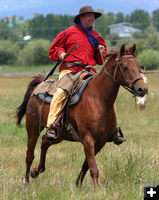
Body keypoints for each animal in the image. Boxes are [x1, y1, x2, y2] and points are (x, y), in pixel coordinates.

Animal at [15, 43, 148, 188]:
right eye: (125, 67)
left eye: (138, 66)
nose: (142, 89)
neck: (98, 98)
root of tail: (38, 85)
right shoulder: (88, 139)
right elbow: (93, 167)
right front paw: (96, 189)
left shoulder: (100, 141)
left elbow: (86, 165)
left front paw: (78, 184)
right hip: (33, 129)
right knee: (29, 154)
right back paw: (26, 182)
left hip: (60, 134)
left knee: (45, 141)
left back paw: (36, 171)